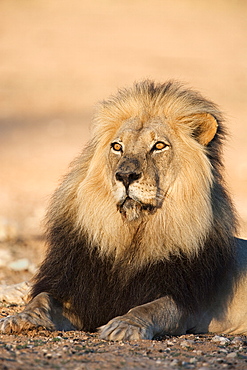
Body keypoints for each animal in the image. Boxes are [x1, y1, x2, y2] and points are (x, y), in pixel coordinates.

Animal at [0, 79, 247, 340]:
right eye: (117, 146)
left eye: (159, 145)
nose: (125, 175)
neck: (130, 233)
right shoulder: (80, 292)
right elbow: (42, 298)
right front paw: (21, 318)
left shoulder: (185, 303)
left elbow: (152, 308)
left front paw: (124, 326)